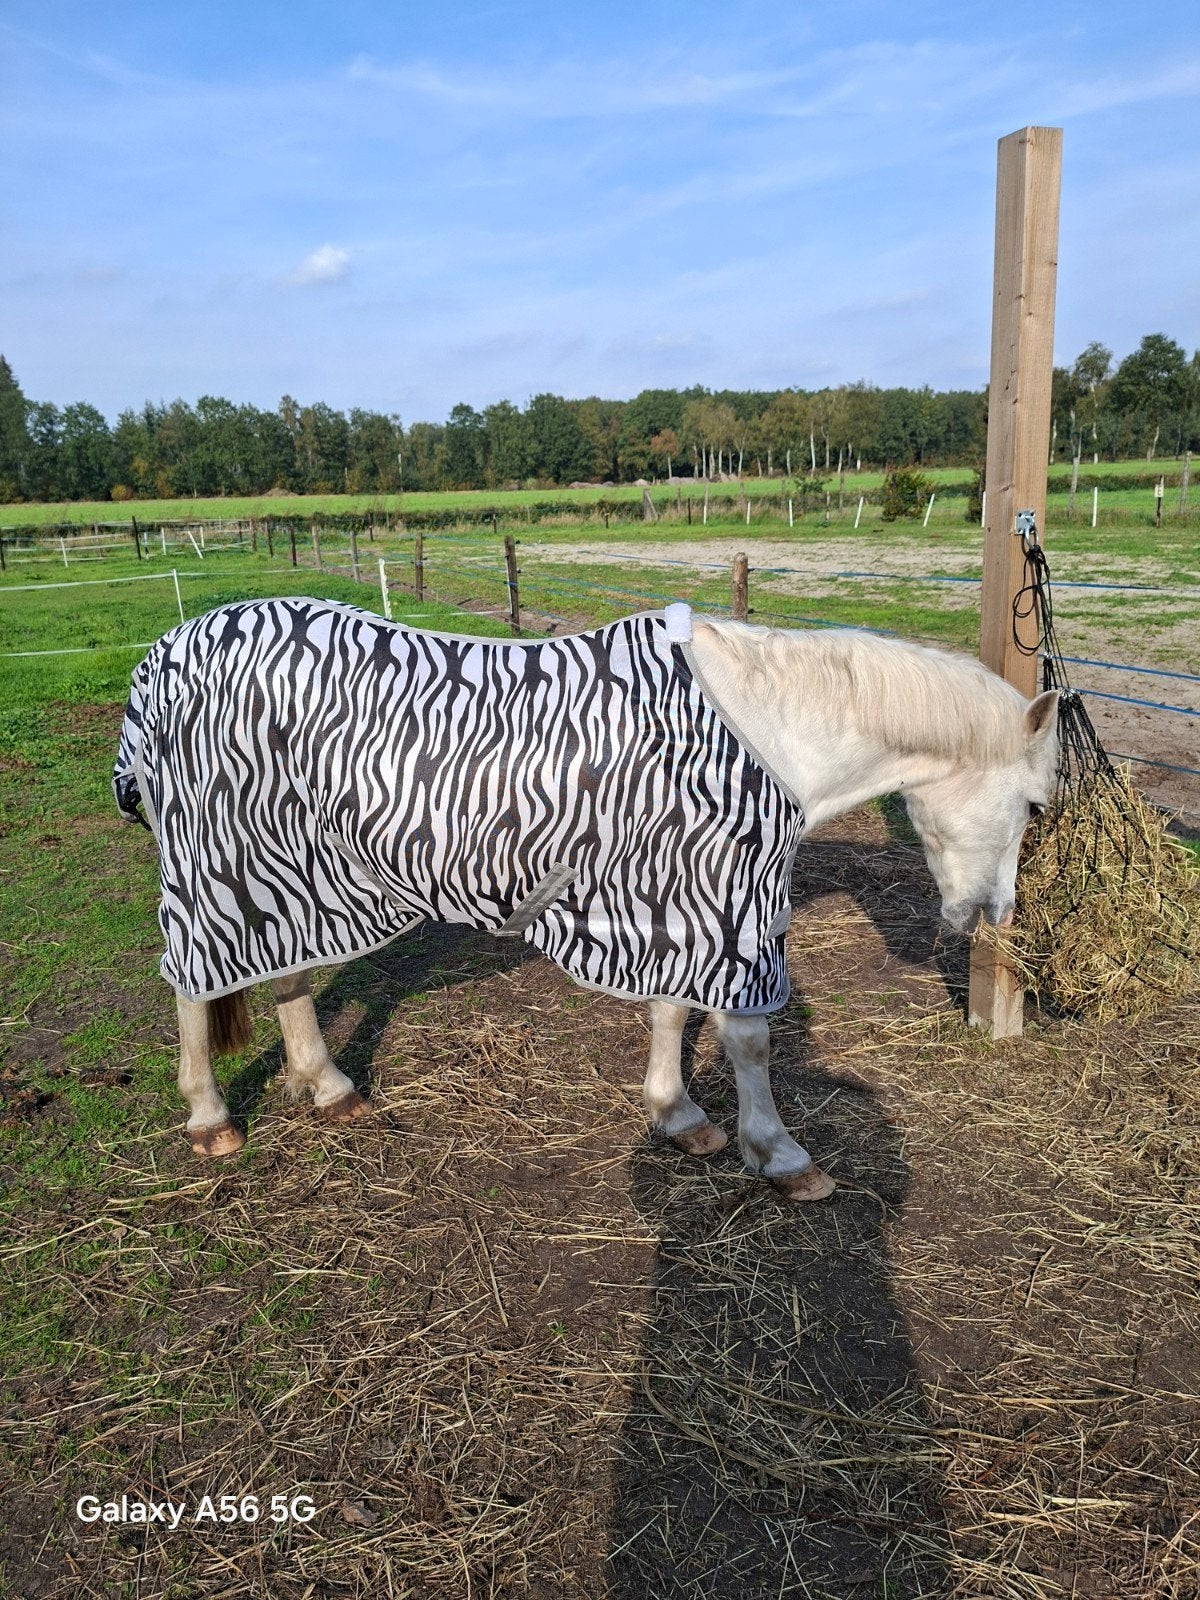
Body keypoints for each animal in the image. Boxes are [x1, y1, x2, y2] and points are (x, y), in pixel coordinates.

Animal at [113, 598, 1058, 1204]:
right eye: (1035, 805)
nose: (987, 917)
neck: (765, 734)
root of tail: (162, 658)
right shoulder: (725, 904)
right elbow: (747, 1038)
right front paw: (781, 1155)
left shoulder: (682, 901)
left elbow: (673, 1011)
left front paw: (680, 1117)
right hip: (216, 869)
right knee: (194, 985)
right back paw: (211, 1120)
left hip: (294, 874)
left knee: (288, 974)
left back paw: (330, 1088)